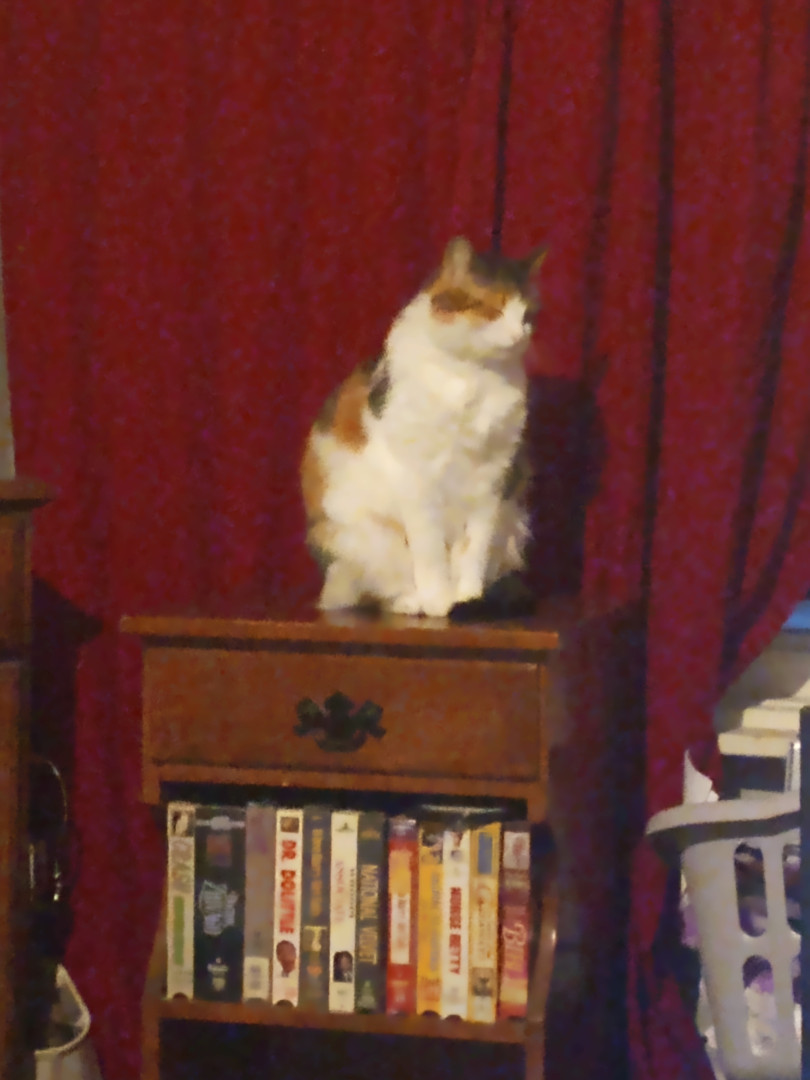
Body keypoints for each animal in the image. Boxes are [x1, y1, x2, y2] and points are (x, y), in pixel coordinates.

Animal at [300, 235, 547, 619]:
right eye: (493, 309)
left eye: (528, 315)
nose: (517, 334)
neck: (472, 375)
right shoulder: (418, 479)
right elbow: (430, 550)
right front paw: (438, 601)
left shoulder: (492, 479)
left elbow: (473, 549)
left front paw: (466, 597)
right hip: (360, 535)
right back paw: (411, 602)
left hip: (512, 520)